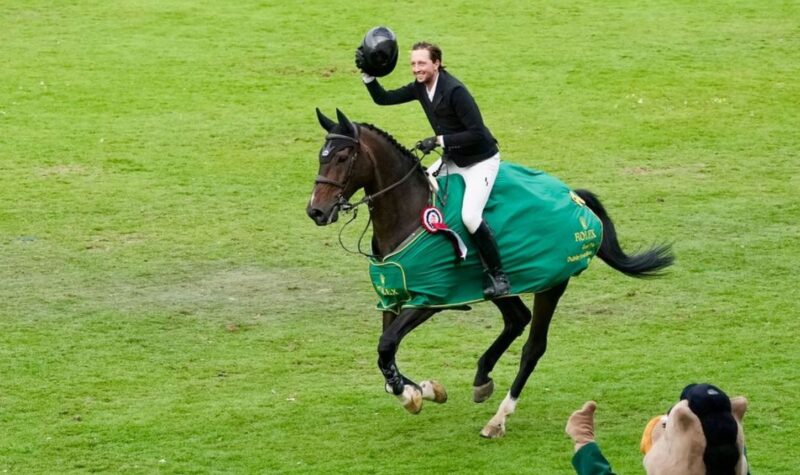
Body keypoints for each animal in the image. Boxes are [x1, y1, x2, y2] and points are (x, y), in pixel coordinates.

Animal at [306, 109, 676, 438]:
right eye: (320, 158)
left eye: (342, 157)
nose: (316, 211)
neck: (409, 214)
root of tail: (575, 198)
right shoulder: (392, 297)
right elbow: (386, 357)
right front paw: (421, 390)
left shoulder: (430, 299)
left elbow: (386, 347)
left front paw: (413, 394)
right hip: (497, 286)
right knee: (516, 318)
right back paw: (482, 378)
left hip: (551, 284)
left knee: (533, 347)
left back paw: (498, 420)